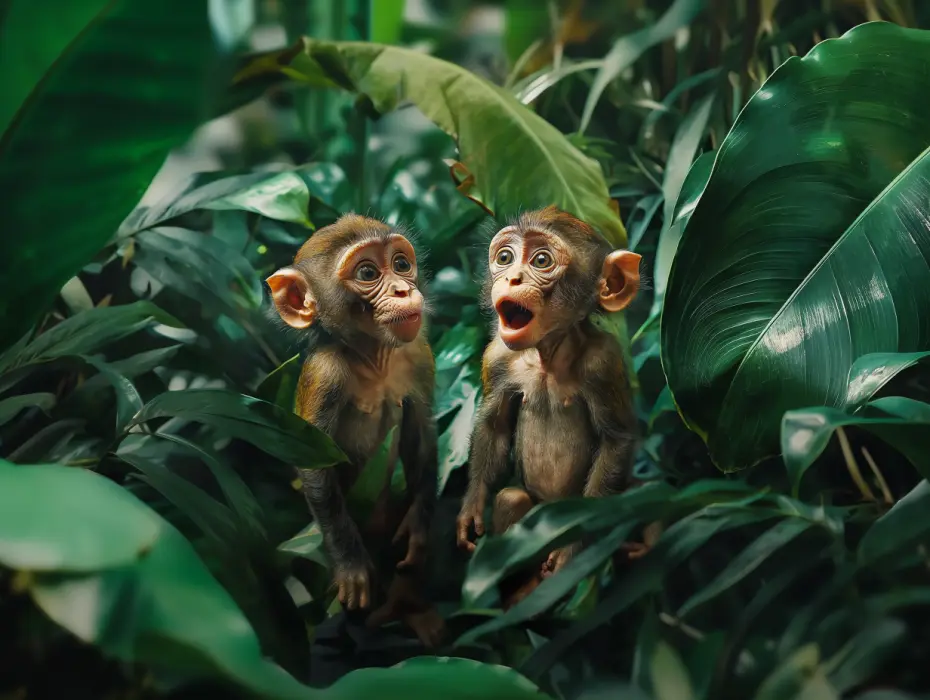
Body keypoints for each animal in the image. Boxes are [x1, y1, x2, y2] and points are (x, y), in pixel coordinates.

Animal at [266, 214, 444, 647]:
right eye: (367, 273)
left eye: (400, 264)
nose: (403, 288)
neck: (373, 359)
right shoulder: (324, 374)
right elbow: (314, 464)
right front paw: (350, 565)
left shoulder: (418, 353)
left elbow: (421, 434)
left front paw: (418, 528)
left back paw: (411, 608)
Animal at [456, 206, 652, 608]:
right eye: (505, 257)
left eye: (541, 261)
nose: (512, 277)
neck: (548, 354)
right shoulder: (497, 357)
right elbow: (494, 427)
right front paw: (472, 507)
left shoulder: (603, 361)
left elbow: (616, 440)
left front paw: (573, 550)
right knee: (512, 498)